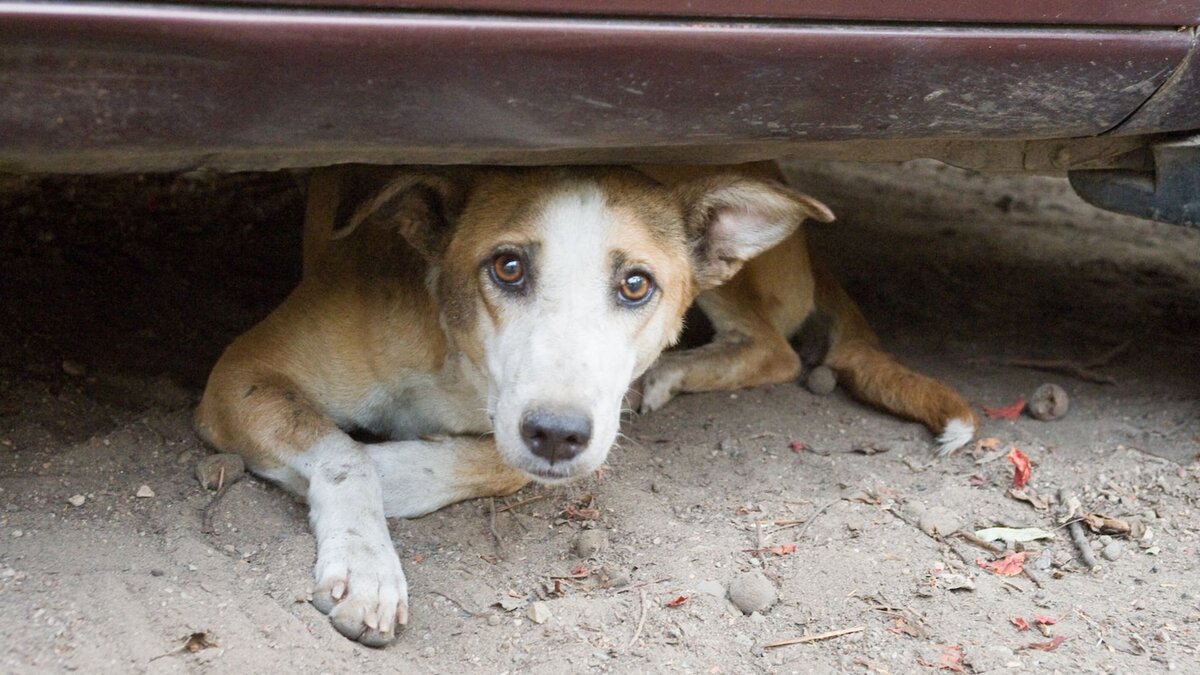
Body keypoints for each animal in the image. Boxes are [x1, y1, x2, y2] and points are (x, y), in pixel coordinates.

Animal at [192, 159, 969, 643]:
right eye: (507, 267)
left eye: (636, 284)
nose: (557, 434)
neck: (459, 366)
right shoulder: (240, 373)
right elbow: (344, 452)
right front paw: (366, 562)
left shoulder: (567, 425)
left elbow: (491, 462)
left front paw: (394, 476)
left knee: (774, 348)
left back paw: (668, 373)